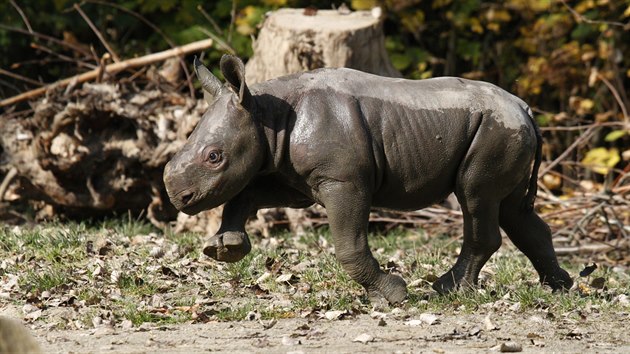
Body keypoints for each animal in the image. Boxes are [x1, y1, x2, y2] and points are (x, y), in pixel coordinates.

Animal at [165, 54, 576, 302]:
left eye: (214, 157)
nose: (177, 198)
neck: (264, 112)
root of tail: (525, 108)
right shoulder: (293, 176)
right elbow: (245, 194)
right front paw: (226, 249)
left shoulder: (343, 179)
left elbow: (349, 245)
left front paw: (392, 294)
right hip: (505, 130)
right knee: (510, 208)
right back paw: (560, 288)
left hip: (494, 132)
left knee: (476, 197)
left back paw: (447, 290)